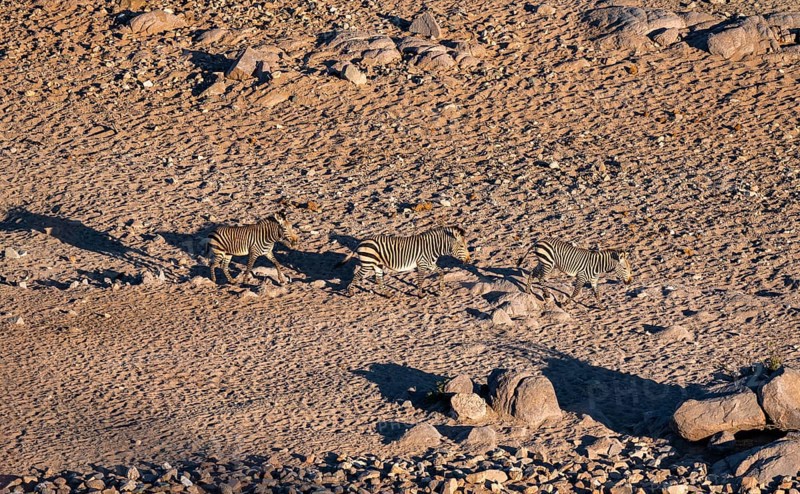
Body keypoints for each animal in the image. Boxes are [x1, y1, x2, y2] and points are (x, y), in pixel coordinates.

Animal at [337, 226, 470, 298]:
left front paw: (441, 289)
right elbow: (421, 280)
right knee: (357, 275)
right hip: (368, 263)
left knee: (379, 279)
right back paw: (350, 292)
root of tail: (362, 241)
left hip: (377, 264)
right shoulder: (422, 264)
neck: (433, 248)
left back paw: (388, 295)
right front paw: (420, 295)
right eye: (462, 246)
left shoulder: (430, 264)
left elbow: (441, 272)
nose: (469, 260)